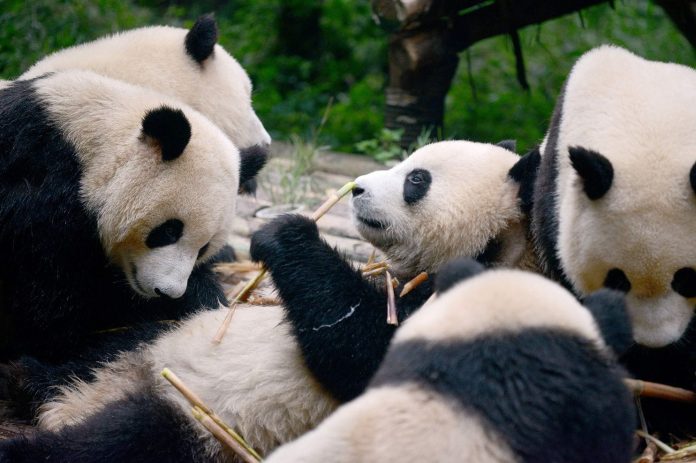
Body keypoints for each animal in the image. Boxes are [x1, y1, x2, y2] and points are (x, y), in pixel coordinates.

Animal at [0, 142, 540, 463]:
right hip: (146, 347)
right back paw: (28, 379)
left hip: (206, 427)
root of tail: (84, 400)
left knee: (115, 442)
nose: (358, 189)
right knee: (97, 355)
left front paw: (285, 233)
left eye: (417, 180)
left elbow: (362, 349)